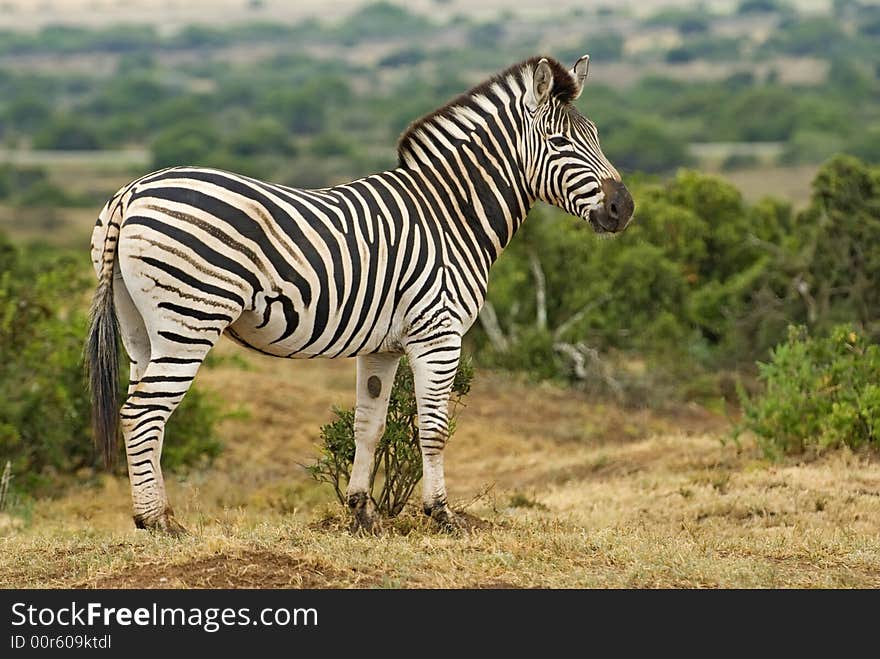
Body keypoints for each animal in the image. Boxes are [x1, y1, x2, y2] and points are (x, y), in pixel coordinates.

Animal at [87, 52, 632, 536]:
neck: (451, 214)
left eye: (596, 135)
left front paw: (362, 514)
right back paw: (157, 523)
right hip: (189, 319)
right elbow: (432, 428)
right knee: (143, 414)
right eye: (560, 141)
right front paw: (442, 516)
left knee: (141, 410)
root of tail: (132, 192)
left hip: (140, 329)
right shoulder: (438, 334)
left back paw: (156, 515)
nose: (623, 209)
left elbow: (368, 426)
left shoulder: (383, 346)